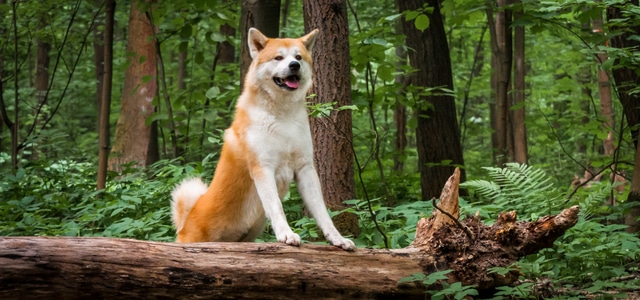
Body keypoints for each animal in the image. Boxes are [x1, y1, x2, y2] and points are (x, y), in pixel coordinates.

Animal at [170, 27, 358, 251]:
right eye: (278, 57)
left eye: (298, 57)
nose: (294, 65)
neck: (282, 117)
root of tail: (186, 220)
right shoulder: (263, 168)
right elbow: (277, 207)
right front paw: (286, 234)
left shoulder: (305, 168)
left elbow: (322, 212)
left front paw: (337, 239)